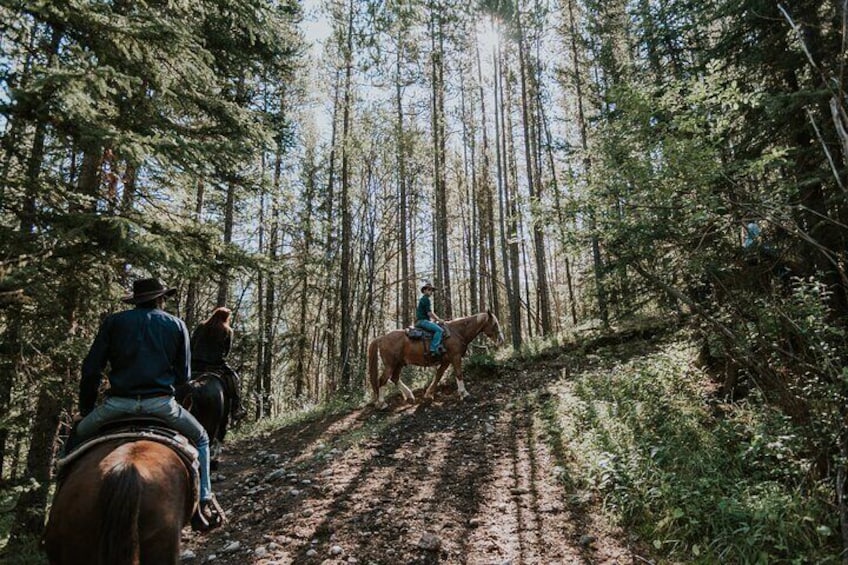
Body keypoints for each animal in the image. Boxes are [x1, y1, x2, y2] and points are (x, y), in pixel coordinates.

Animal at [366, 310, 504, 408]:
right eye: (495, 324)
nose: (501, 340)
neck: (457, 332)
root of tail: (381, 338)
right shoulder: (455, 357)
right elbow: (459, 374)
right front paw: (464, 393)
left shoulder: (446, 361)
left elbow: (438, 376)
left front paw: (429, 394)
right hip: (390, 364)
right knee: (382, 380)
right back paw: (382, 403)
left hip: (399, 363)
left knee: (394, 378)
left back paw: (409, 396)